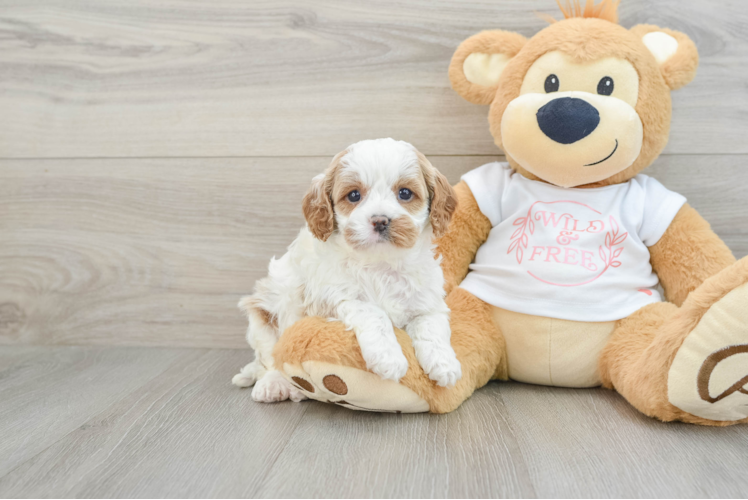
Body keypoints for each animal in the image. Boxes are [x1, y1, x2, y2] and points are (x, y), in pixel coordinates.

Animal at [231, 137, 462, 402]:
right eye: (353, 195)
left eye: (405, 193)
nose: (380, 220)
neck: (380, 263)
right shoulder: (330, 297)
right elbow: (373, 312)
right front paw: (389, 358)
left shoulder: (427, 301)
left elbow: (432, 326)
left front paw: (445, 364)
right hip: (264, 313)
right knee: (269, 359)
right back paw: (275, 384)